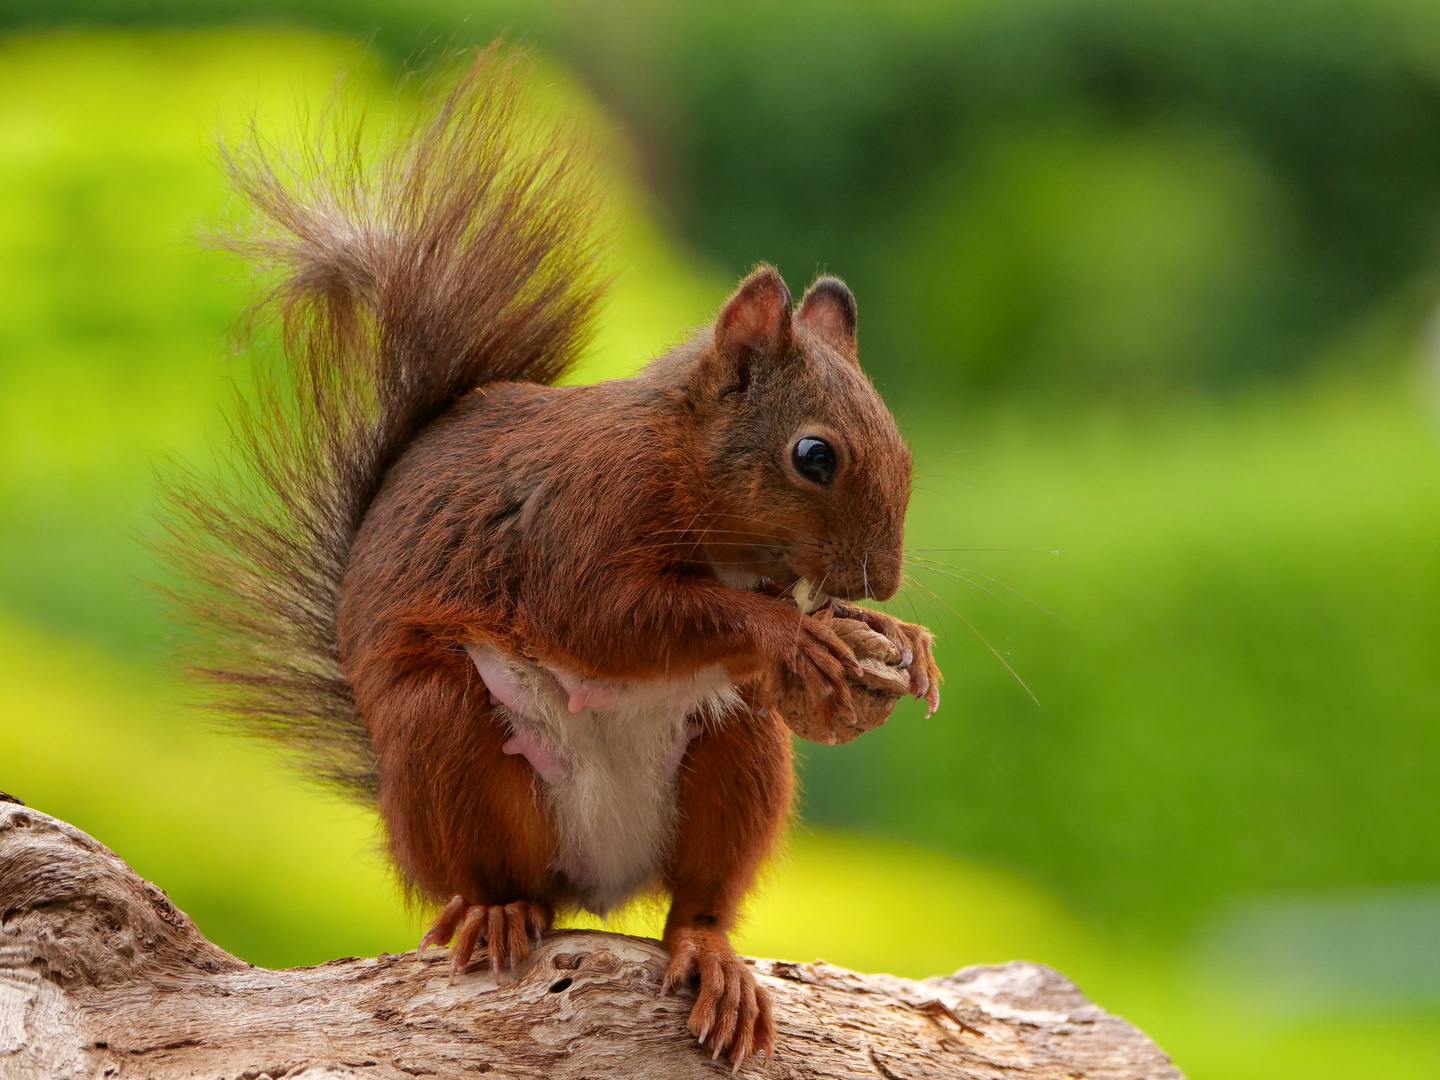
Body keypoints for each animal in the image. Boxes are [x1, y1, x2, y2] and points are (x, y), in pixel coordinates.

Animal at [163, 48, 938, 1065]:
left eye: (902, 446)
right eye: (814, 456)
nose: (877, 579)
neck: (685, 467)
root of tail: (598, 877)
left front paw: (897, 639)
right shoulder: (577, 526)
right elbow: (609, 619)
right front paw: (793, 634)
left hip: (734, 752)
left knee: (697, 902)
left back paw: (713, 959)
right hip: (447, 734)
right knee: (497, 875)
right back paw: (496, 912)